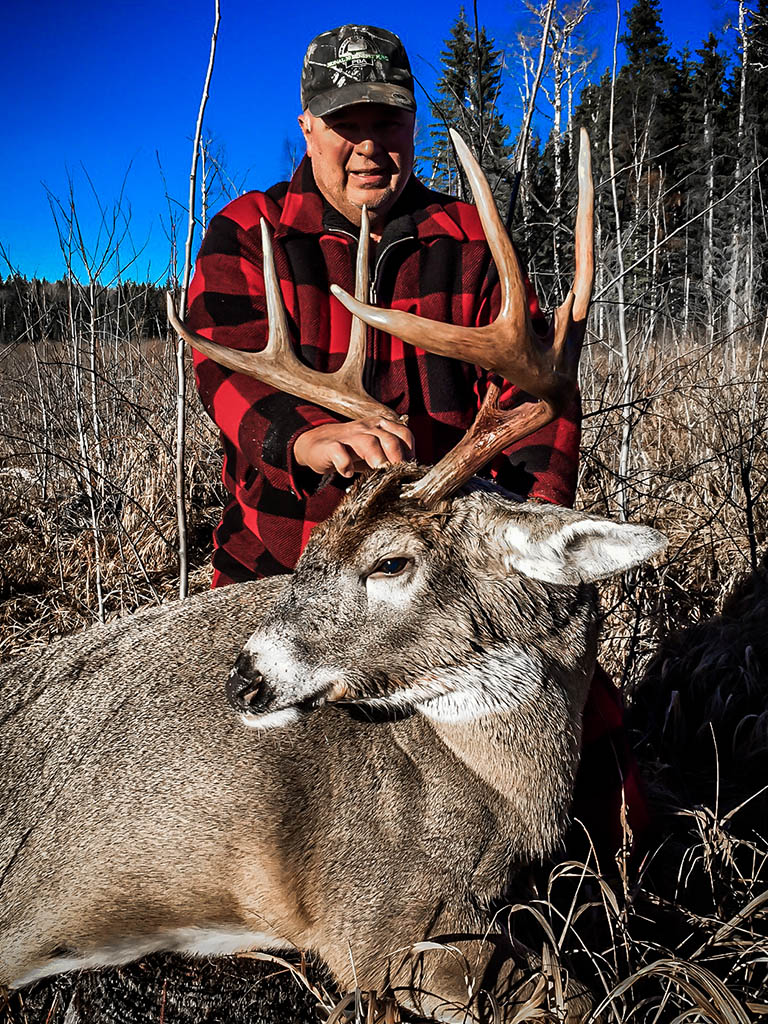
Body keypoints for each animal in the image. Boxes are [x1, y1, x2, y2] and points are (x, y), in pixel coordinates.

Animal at [0, 130, 666, 1022]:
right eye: (312, 549)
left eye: (391, 562)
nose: (244, 677)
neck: (504, 787)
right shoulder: (380, 921)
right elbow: (581, 996)